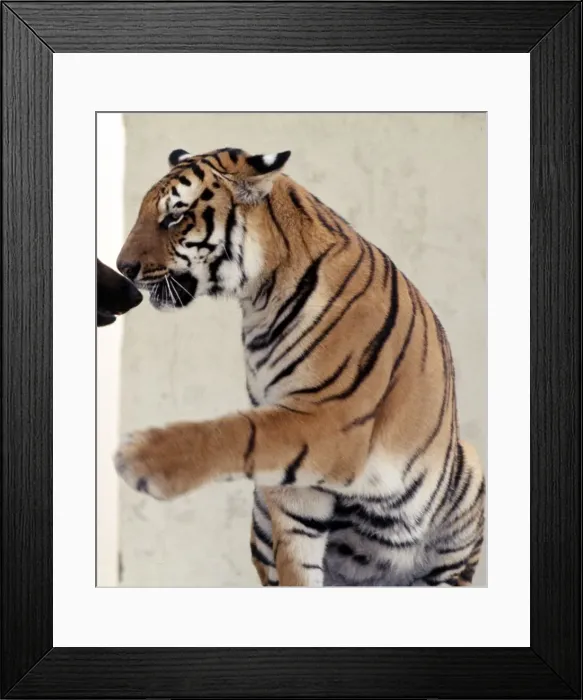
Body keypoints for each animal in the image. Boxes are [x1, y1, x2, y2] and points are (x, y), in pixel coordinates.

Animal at [114, 146, 485, 587]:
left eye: (174, 217)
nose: (122, 267)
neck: (259, 298)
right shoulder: (292, 484)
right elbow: (297, 555)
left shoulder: (332, 420)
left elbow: (237, 432)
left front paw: (140, 457)